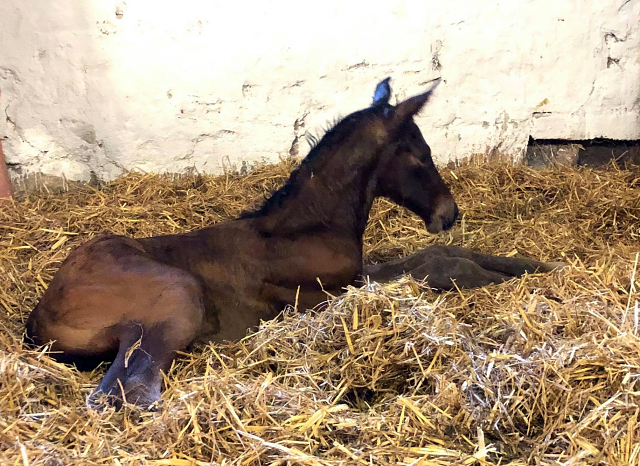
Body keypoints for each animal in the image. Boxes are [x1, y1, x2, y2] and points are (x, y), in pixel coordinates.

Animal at [26, 76, 460, 408]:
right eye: (420, 155)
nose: (449, 213)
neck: (309, 227)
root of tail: (38, 316)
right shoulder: (325, 295)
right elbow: (424, 267)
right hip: (177, 294)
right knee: (125, 391)